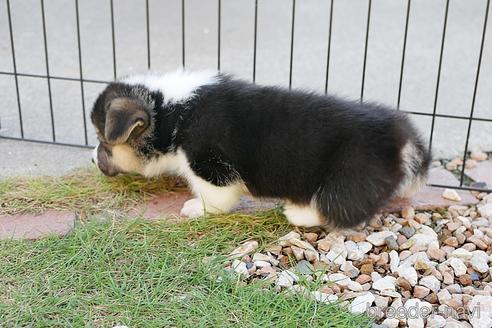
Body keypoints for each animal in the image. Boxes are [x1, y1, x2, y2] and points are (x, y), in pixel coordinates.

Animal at [90, 69, 428, 228]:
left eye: (104, 141)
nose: (92, 159)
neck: (170, 114)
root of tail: (403, 137)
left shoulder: (209, 167)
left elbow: (215, 198)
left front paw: (197, 209)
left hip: (349, 177)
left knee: (344, 208)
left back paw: (300, 213)